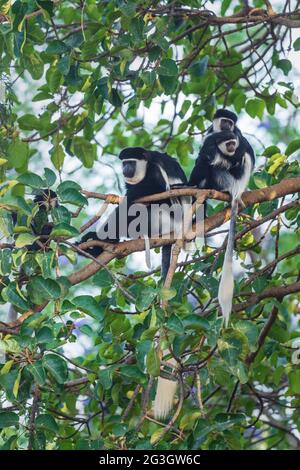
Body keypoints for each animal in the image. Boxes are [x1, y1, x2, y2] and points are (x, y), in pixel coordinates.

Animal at [79, 147, 188, 280]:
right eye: (124, 163)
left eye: (131, 162)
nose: (125, 169)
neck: (148, 162)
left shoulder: (155, 169)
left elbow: (158, 188)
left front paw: (128, 196)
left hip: (160, 219)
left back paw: (105, 239)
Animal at [189, 125, 254, 324]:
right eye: (229, 144)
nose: (232, 148)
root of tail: (237, 190)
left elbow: (209, 158)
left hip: (223, 179)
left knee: (210, 166)